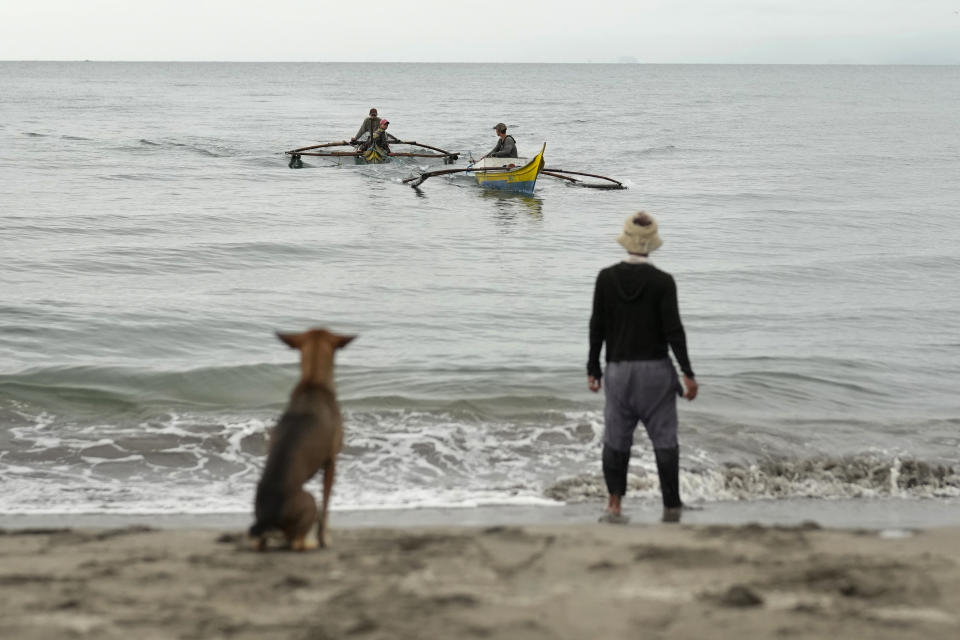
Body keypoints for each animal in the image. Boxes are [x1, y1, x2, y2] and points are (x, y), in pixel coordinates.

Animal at [249, 330, 354, 552]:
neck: (312, 381)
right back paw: (311, 543)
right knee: (297, 541)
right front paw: (325, 538)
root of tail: (269, 518)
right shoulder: (331, 462)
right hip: (309, 499)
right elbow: (326, 505)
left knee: (259, 541)